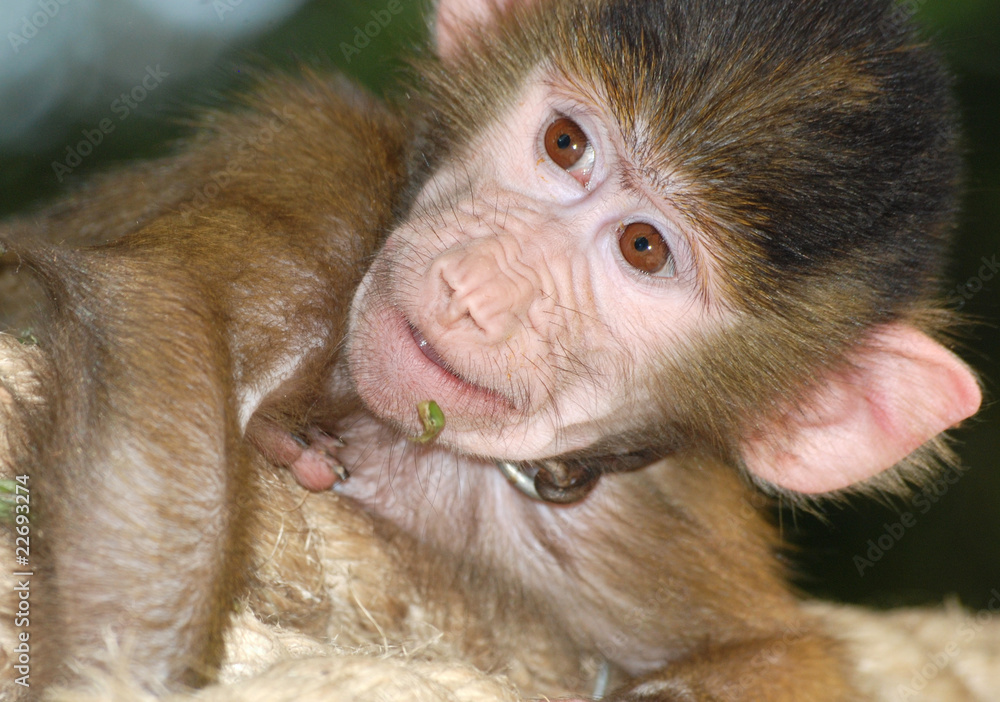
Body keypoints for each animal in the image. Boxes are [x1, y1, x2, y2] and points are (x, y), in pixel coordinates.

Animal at [0, 0, 982, 699]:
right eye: (565, 143)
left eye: (643, 248)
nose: (477, 286)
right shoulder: (324, 176)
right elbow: (150, 309)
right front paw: (112, 679)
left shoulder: (633, 523)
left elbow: (788, 654)